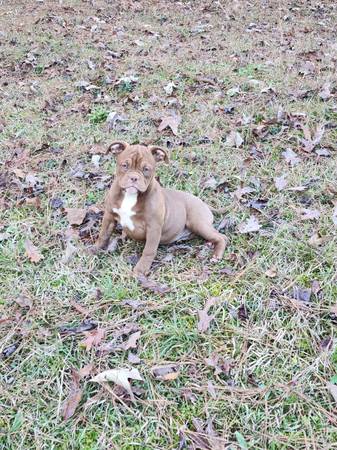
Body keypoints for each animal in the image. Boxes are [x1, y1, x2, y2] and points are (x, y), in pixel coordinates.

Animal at [93, 142, 227, 274]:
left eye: (146, 169)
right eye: (124, 166)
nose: (134, 178)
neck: (130, 195)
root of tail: (203, 203)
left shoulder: (153, 228)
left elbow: (149, 250)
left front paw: (141, 269)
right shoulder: (109, 216)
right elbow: (103, 234)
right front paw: (94, 249)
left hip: (198, 223)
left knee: (221, 237)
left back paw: (217, 254)